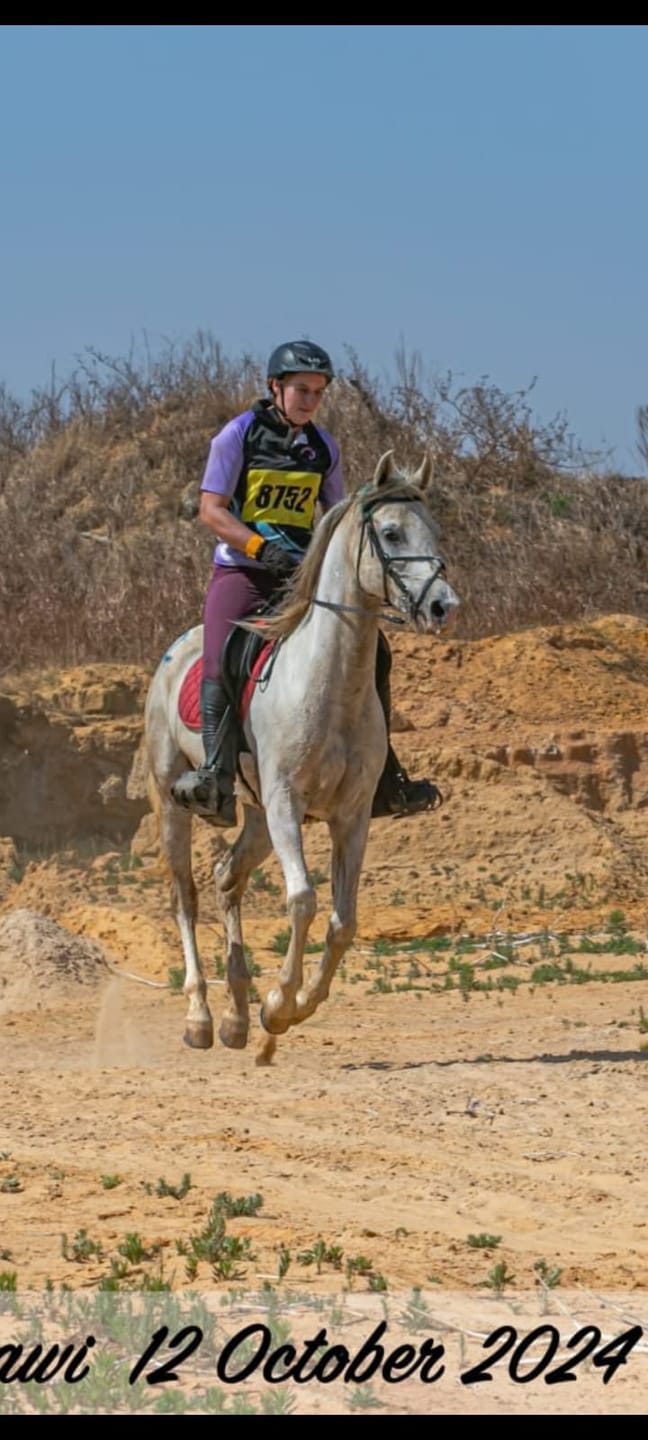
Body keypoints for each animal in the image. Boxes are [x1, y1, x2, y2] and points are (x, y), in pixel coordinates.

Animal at [142, 449, 461, 1063]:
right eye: (390, 533)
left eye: (435, 530)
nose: (442, 605)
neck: (330, 681)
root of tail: (175, 651)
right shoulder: (288, 803)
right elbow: (303, 901)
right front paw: (278, 1003)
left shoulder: (351, 815)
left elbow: (343, 921)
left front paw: (289, 1012)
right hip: (176, 800)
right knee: (185, 896)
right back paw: (200, 1017)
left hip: (256, 816)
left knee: (226, 878)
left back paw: (237, 1018)